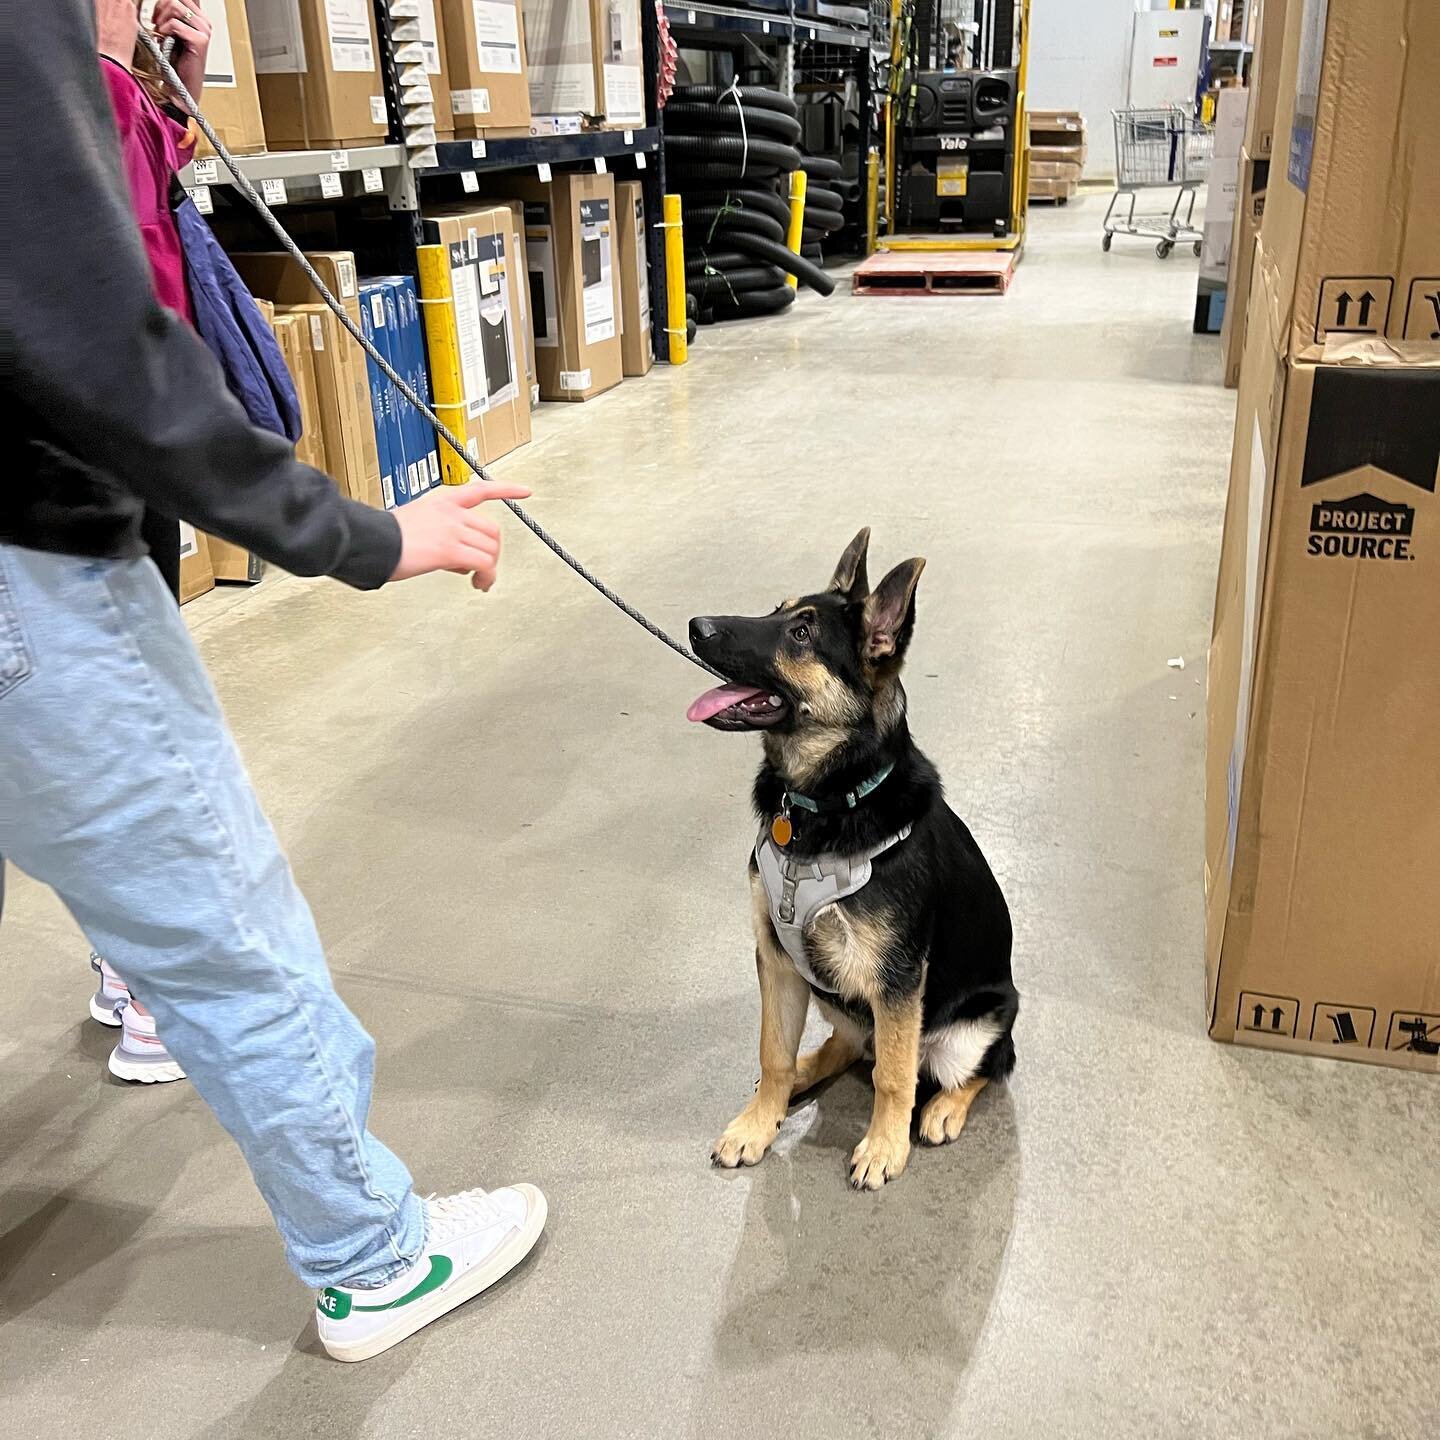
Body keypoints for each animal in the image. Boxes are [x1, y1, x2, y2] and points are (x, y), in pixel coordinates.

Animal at [682, 535, 1013, 1186]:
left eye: (802, 634)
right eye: (777, 611)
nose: (695, 626)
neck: (825, 800)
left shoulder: (897, 982)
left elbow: (892, 1076)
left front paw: (885, 1146)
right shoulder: (776, 958)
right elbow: (774, 1050)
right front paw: (760, 1121)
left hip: (979, 1024)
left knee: (978, 1066)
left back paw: (943, 1107)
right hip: (830, 993)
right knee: (851, 1043)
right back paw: (806, 1073)